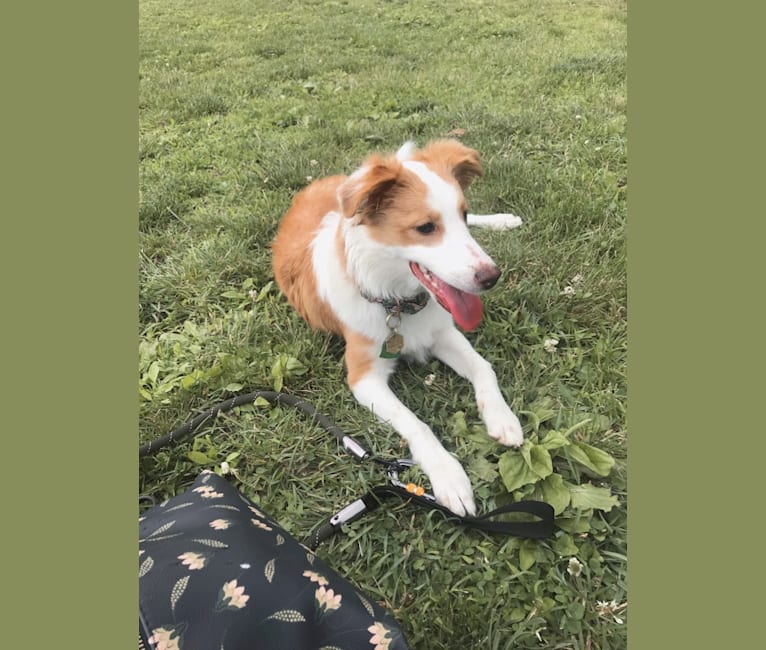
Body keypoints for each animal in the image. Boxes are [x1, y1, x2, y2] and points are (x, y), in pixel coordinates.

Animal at [272, 139, 524, 512]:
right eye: (425, 228)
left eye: (462, 216)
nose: (491, 277)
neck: (399, 303)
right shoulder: (364, 377)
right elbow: (417, 424)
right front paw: (449, 476)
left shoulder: (443, 333)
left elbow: (484, 368)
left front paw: (502, 417)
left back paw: (504, 220)